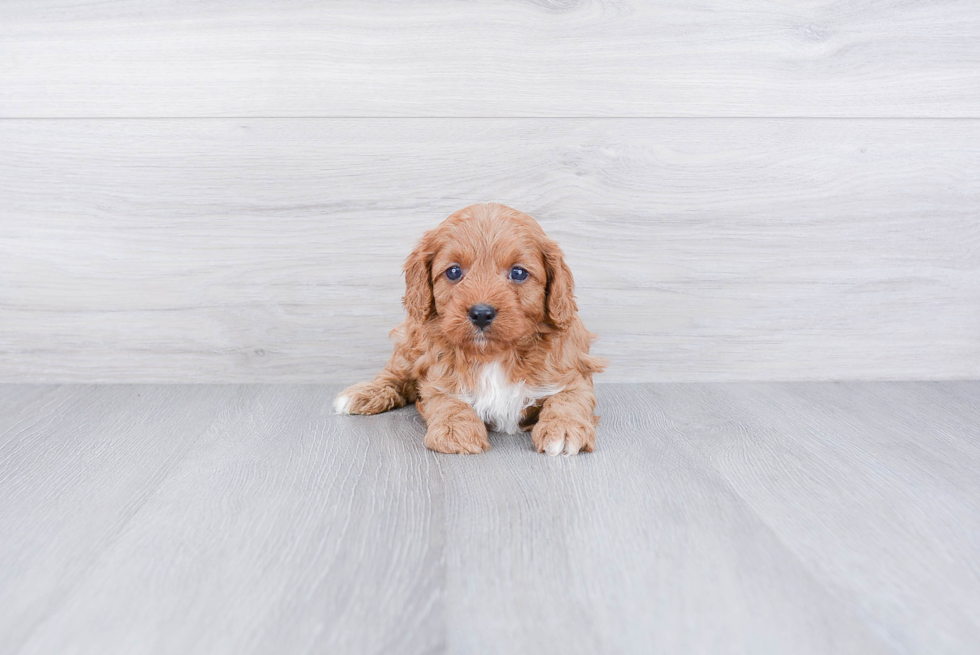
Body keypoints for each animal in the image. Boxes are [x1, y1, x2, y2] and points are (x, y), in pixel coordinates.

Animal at [334, 202, 600, 454]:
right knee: (395, 374)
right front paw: (455, 431)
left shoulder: (573, 373)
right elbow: (448, 400)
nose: (481, 313)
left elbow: (568, 399)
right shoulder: (438, 377)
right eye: (454, 271)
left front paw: (563, 429)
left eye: (518, 272)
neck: (495, 355)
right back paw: (362, 393)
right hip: (410, 341)